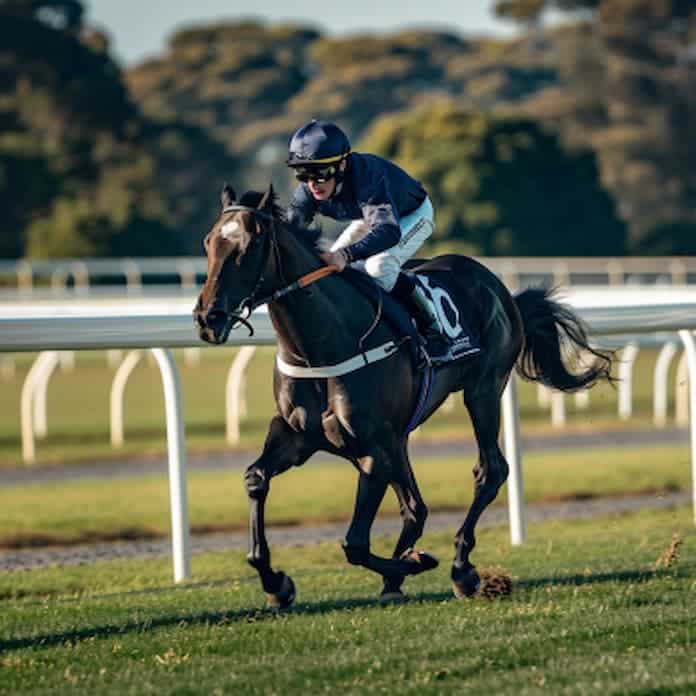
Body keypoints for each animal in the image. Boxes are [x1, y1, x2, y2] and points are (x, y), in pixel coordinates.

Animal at [193, 185, 612, 608]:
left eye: (247, 247)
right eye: (209, 242)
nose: (207, 318)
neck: (321, 345)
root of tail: (498, 287)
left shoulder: (374, 451)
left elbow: (355, 543)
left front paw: (417, 562)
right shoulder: (299, 437)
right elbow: (256, 479)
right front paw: (276, 582)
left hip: (482, 390)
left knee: (489, 471)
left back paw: (461, 569)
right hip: (402, 435)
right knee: (416, 506)